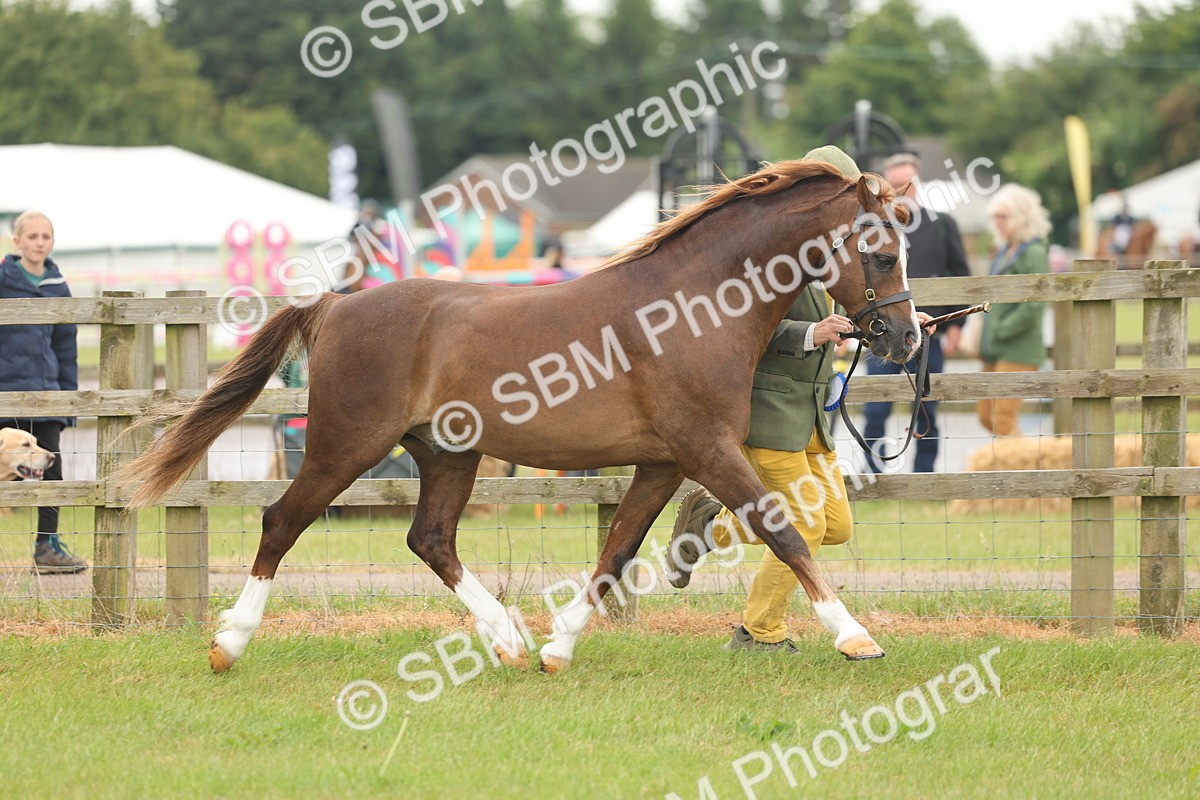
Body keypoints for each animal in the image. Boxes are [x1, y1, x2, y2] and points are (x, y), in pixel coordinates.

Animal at [122, 158, 920, 674]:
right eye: (881, 254)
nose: (905, 339)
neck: (693, 307)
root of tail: (336, 305)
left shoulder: (664, 461)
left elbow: (616, 552)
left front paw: (556, 649)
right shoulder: (707, 449)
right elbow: (785, 534)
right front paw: (856, 636)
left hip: (447, 454)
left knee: (430, 538)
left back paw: (506, 637)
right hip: (344, 447)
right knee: (282, 522)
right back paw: (228, 644)